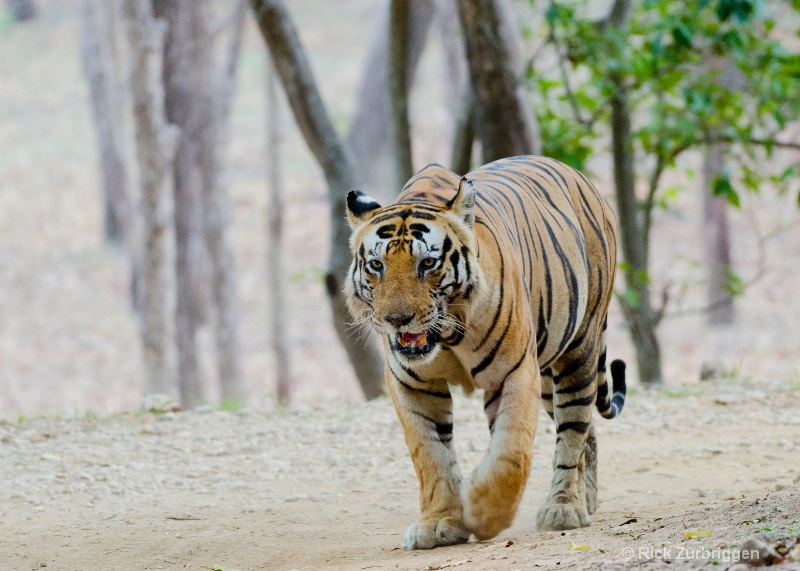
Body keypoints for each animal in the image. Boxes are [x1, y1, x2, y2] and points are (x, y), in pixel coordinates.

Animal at [344, 155, 624, 548]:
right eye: (376, 265)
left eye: (427, 263)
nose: (396, 320)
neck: (446, 335)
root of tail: (576, 174)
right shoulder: (412, 384)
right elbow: (431, 456)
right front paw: (439, 523)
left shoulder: (515, 372)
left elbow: (511, 452)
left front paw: (485, 512)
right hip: (547, 378)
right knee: (587, 434)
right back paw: (587, 500)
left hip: (578, 351)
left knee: (573, 428)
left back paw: (564, 508)